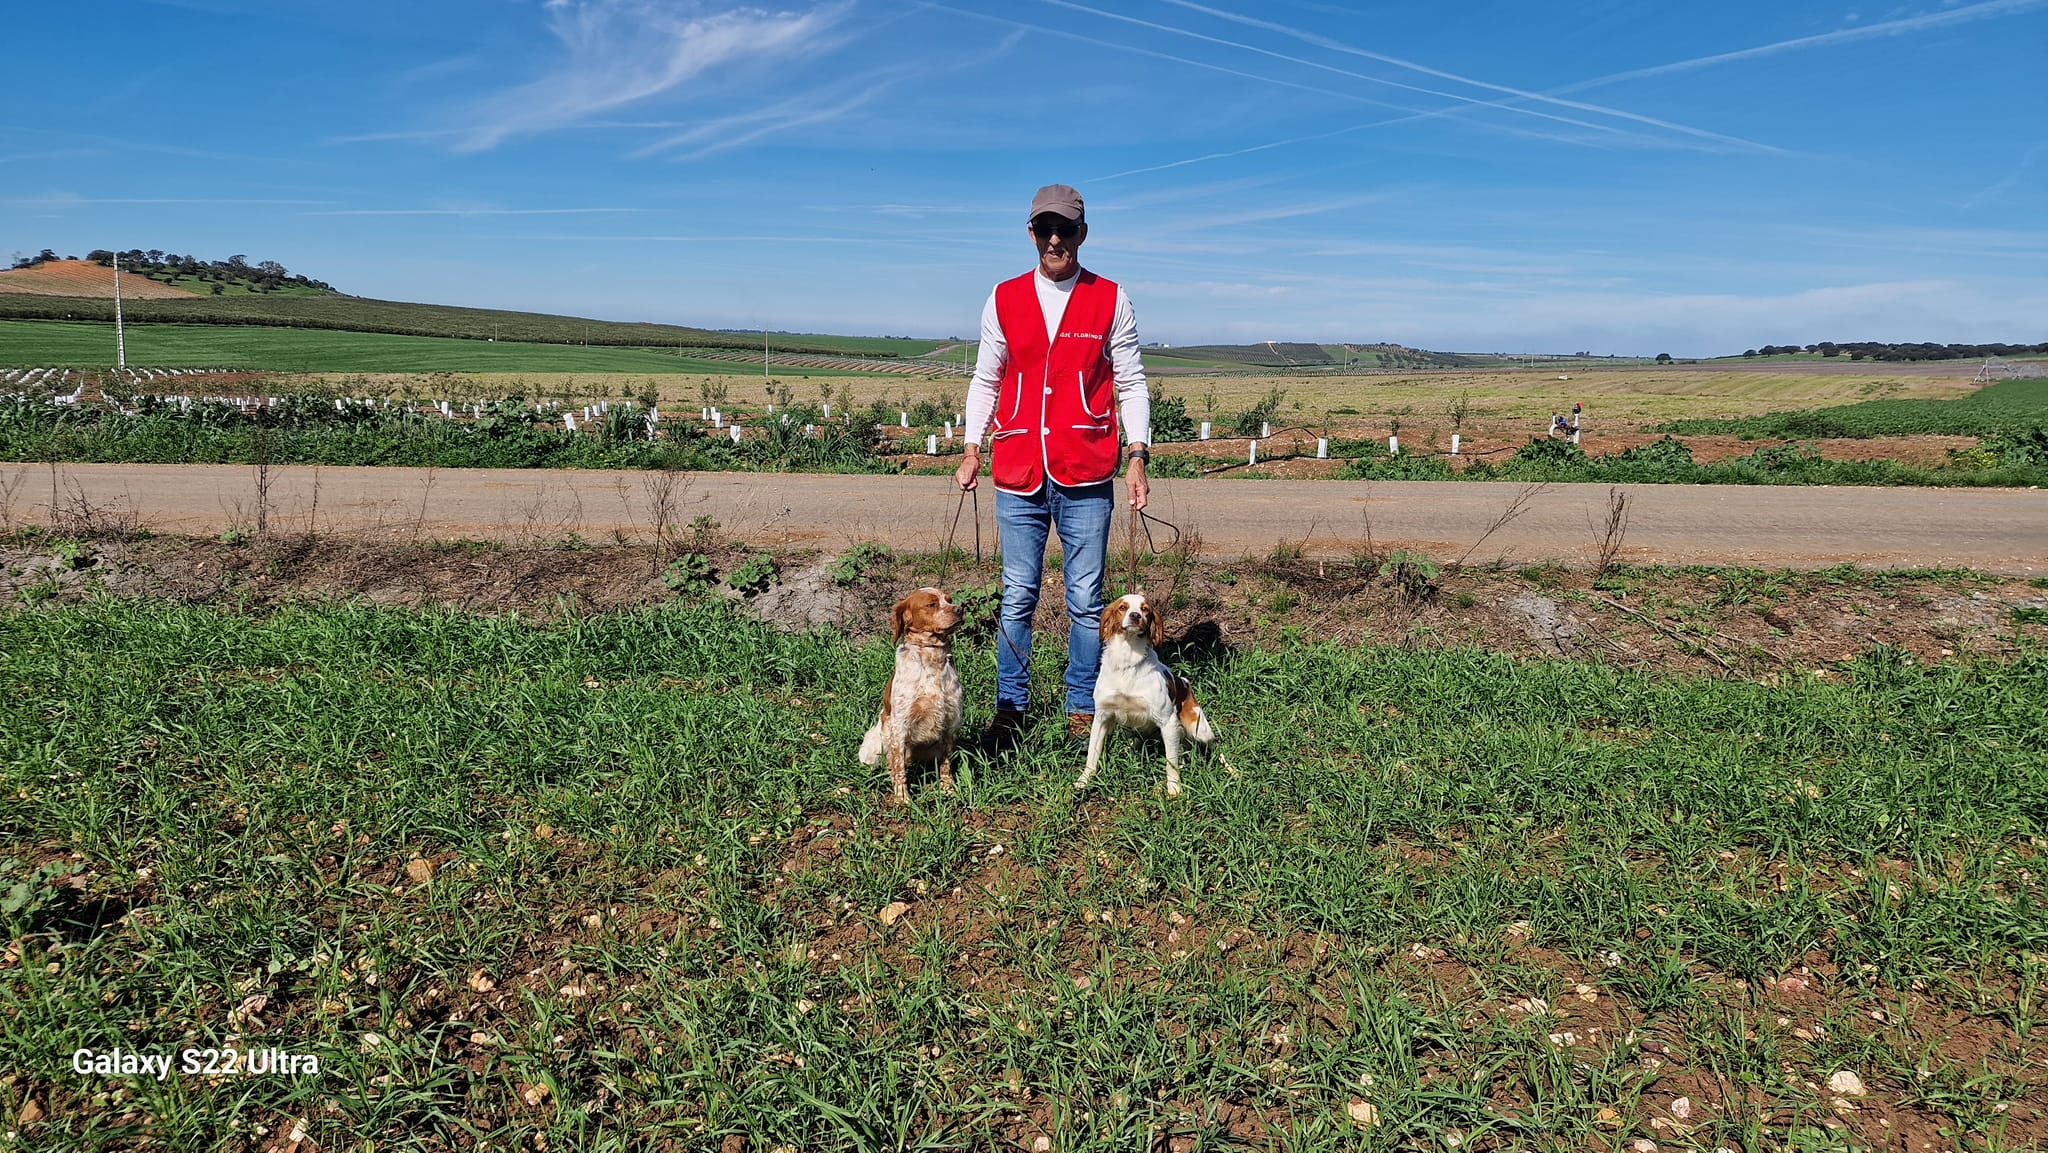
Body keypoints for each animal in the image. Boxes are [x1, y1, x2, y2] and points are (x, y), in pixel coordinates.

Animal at [860, 585, 962, 802]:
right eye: (931, 604)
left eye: (949, 600)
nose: (960, 609)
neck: (931, 657)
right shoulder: (900, 725)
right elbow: (899, 768)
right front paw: (903, 799)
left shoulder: (951, 723)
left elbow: (946, 764)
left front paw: (948, 789)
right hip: (873, 747)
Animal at [1081, 589, 1204, 798]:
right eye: (1123, 607)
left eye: (1145, 609)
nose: (1135, 616)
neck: (1127, 661)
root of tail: (1185, 683)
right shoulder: (1102, 716)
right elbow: (1092, 753)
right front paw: (1083, 781)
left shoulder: (1168, 721)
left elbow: (1171, 763)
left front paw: (1174, 788)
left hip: (1200, 728)